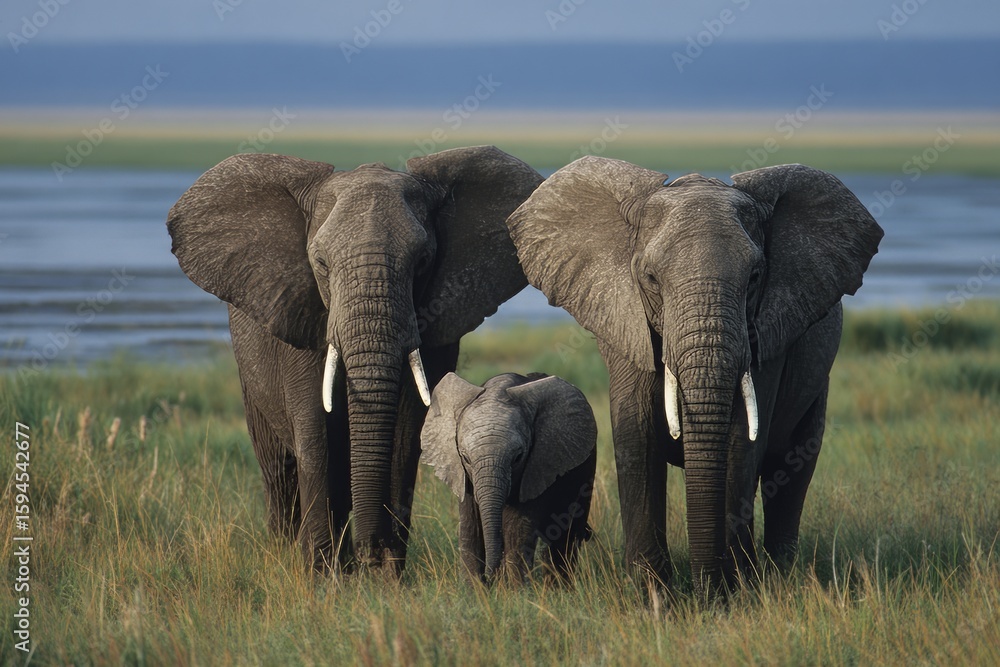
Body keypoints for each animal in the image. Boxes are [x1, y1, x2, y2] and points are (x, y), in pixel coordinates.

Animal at [167, 146, 542, 573]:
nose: (370, 551)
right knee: (277, 469)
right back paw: (284, 554)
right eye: (320, 263)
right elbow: (314, 431)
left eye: (423, 261)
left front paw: (385, 576)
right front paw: (319, 575)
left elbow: (406, 433)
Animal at [420, 372, 597, 584]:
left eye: (518, 457)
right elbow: (470, 527)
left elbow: (516, 528)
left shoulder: (536, 467)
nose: (490, 578)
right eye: (466, 458)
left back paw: (559, 587)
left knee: (566, 535)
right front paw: (473, 589)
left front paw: (515, 590)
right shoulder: (463, 475)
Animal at [506, 157, 883, 598]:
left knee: (793, 464)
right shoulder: (625, 323)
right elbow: (636, 435)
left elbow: (741, 442)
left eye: (755, 277)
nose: (705, 592)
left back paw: (781, 574)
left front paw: (733, 591)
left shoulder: (766, 334)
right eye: (651, 279)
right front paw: (653, 595)